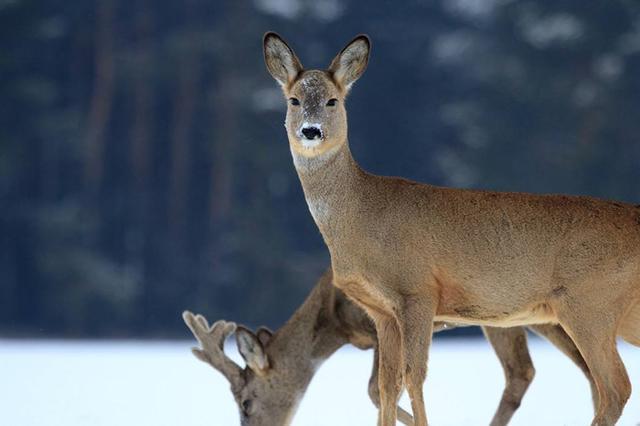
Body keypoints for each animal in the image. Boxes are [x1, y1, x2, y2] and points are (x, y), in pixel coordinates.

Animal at [262, 30, 640, 426]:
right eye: (294, 99)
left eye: (333, 101)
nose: (311, 131)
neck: (361, 217)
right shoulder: (381, 311)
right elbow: (386, 385)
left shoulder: (418, 291)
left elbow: (414, 376)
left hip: (590, 304)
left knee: (615, 387)